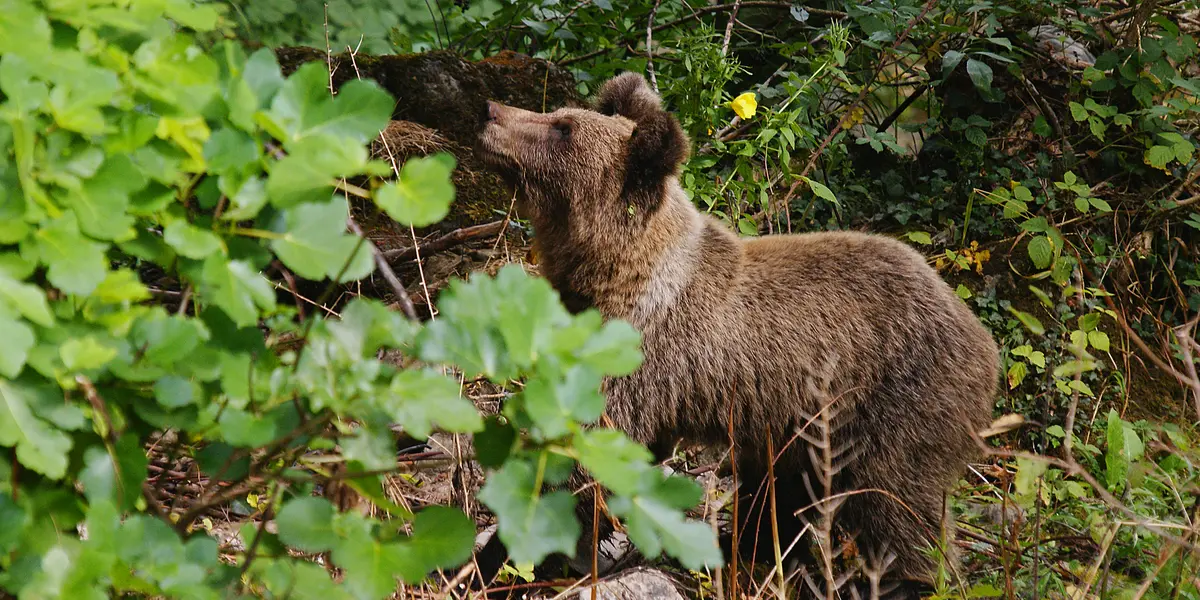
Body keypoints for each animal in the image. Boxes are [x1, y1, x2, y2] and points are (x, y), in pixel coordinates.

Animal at [473, 72, 999, 596]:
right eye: (559, 113)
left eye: (562, 129)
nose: (490, 111)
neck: (613, 274)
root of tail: (983, 341)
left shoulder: (636, 359)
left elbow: (581, 459)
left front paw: (501, 556)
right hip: (800, 429)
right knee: (783, 494)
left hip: (894, 404)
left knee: (896, 506)